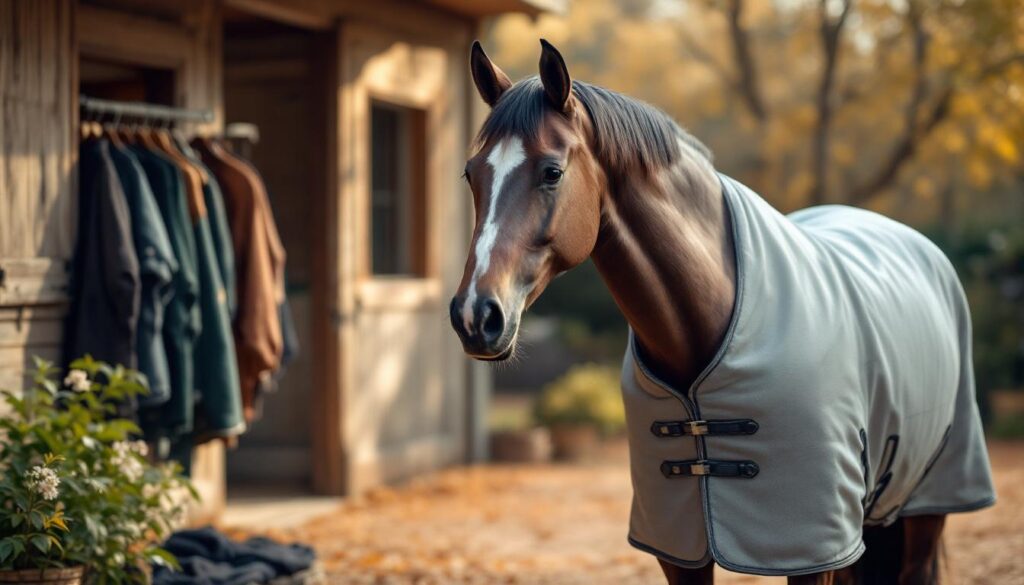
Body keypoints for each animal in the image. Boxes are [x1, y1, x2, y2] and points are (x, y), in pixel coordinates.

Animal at [448, 40, 995, 585]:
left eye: (552, 172)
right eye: (471, 174)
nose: (476, 315)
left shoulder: (814, 547)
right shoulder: (677, 544)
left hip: (926, 504)